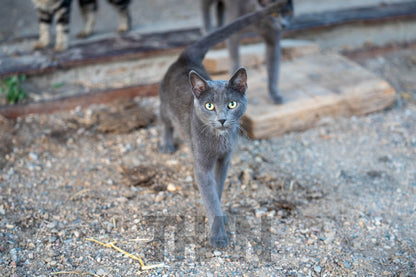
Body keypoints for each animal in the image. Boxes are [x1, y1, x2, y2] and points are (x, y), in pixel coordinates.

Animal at [159, 0, 290, 246]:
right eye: (209, 106)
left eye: (231, 104)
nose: (221, 119)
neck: (219, 140)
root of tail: (185, 59)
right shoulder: (202, 165)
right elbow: (209, 194)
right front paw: (217, 235)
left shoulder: (225, 159)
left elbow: (217, 189)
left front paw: (220, 216)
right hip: (164, 104)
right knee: (165, 123)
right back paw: (167, 145)